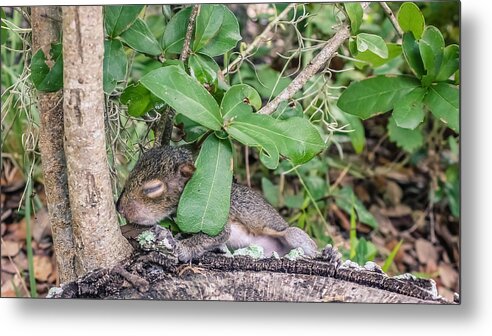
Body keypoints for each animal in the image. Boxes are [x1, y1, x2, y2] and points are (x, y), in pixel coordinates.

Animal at [117, 146, 318, 262]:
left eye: (153, 188)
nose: (120, 209)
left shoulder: (215, 221)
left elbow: (211, 236)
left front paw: (179, 247)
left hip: (291, 234)